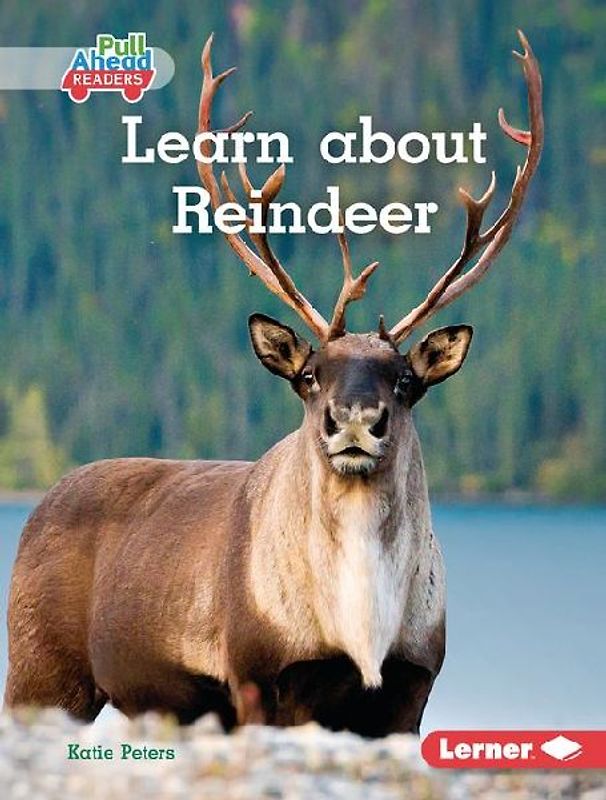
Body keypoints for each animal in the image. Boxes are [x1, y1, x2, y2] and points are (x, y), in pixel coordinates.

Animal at [5, 31, 542, 736]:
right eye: (309, 376)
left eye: (404, 381)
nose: (354, 420)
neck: (361, 625)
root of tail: (41, 503)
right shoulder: (261, 677)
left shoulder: (411, 687)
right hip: (39, 670)